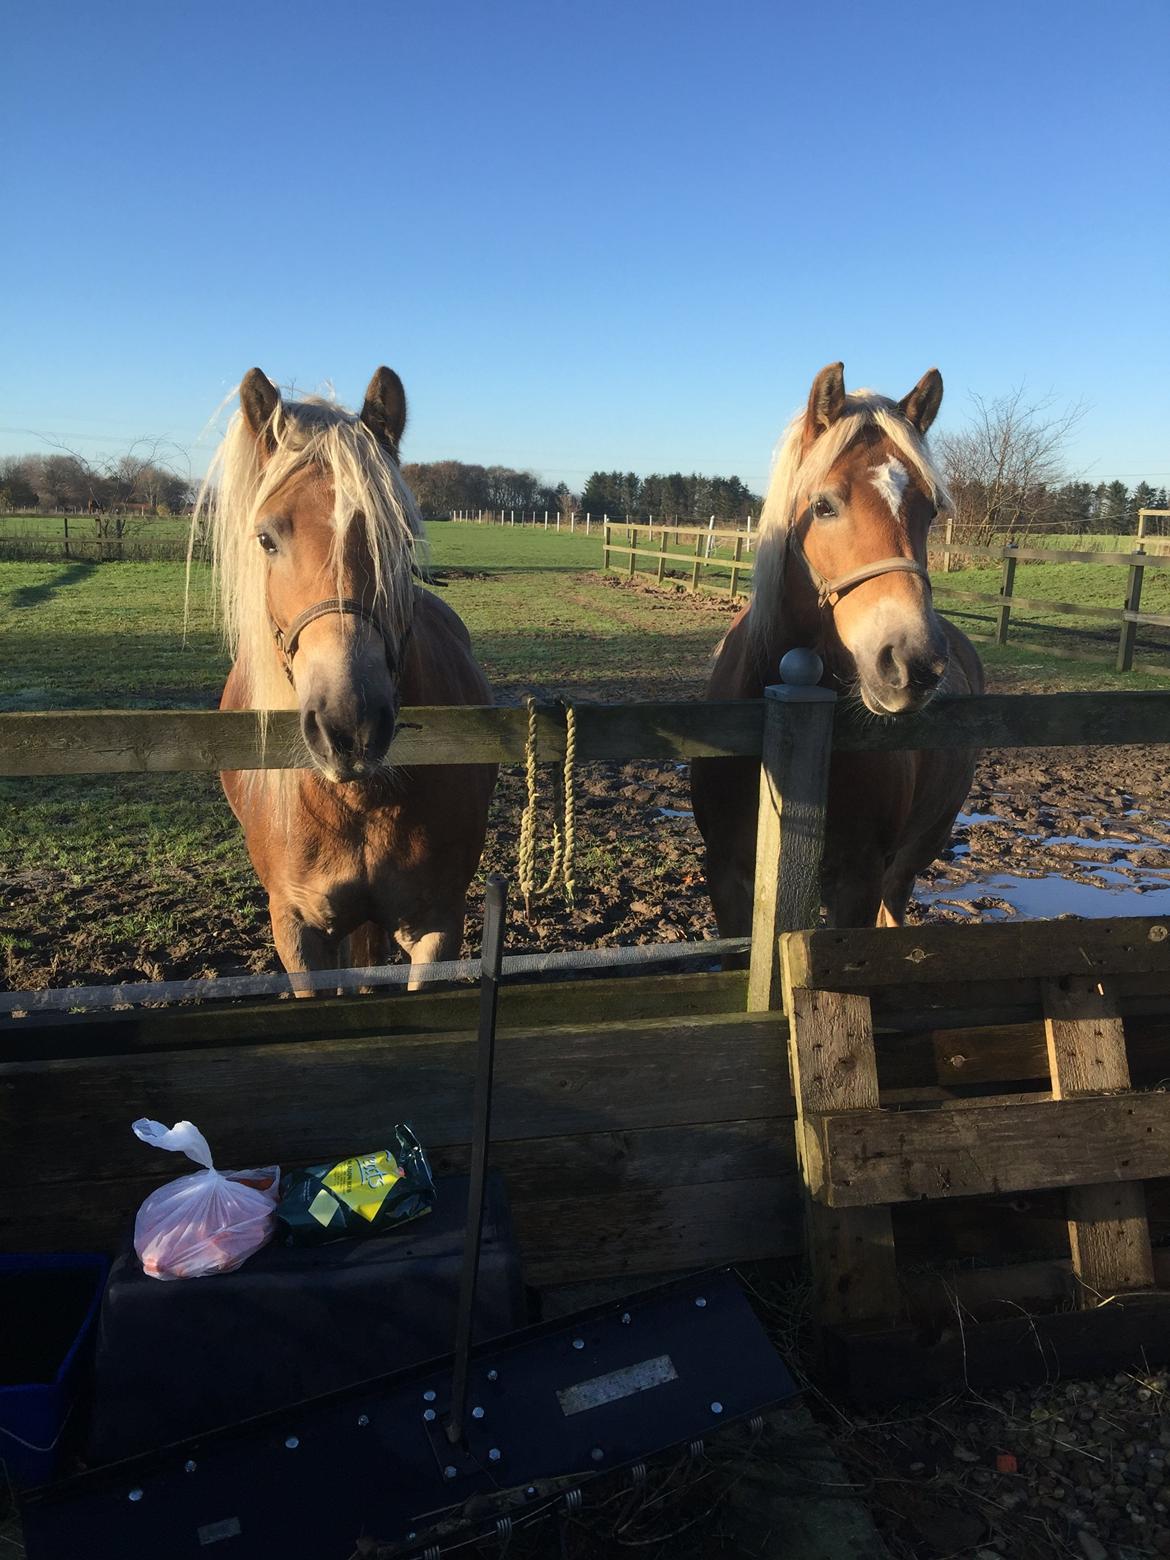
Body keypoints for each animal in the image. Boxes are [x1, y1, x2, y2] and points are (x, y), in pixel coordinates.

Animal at [195, 366, 496, 992]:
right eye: (266, 538)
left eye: (401, 540)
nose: (349, 725)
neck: (355, 801)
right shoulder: (299, 933)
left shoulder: (437, 925)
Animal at [692, 361, 985, 923]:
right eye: (823, 505)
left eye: (932, 510)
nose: (912, 661)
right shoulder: (725, 875)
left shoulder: (860, 879)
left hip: (910, 862)